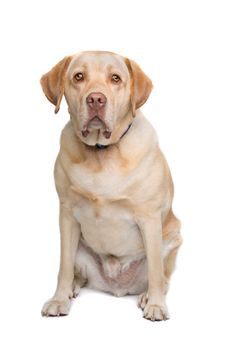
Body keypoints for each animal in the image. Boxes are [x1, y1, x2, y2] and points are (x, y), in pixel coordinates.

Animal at [40, 50, 182, 322]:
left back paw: (147, 296)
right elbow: (63, 266)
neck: (101, 152)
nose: (96, 99)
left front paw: (156, 305)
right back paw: (73, 287)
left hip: (172, 238)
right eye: (78, 76)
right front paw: (59, 299)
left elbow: (156, 272)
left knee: (162, 277)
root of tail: (116, 284)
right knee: (76, 271)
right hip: (80, 247)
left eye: (115, 78)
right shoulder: (67, 214)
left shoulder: (149, 218)